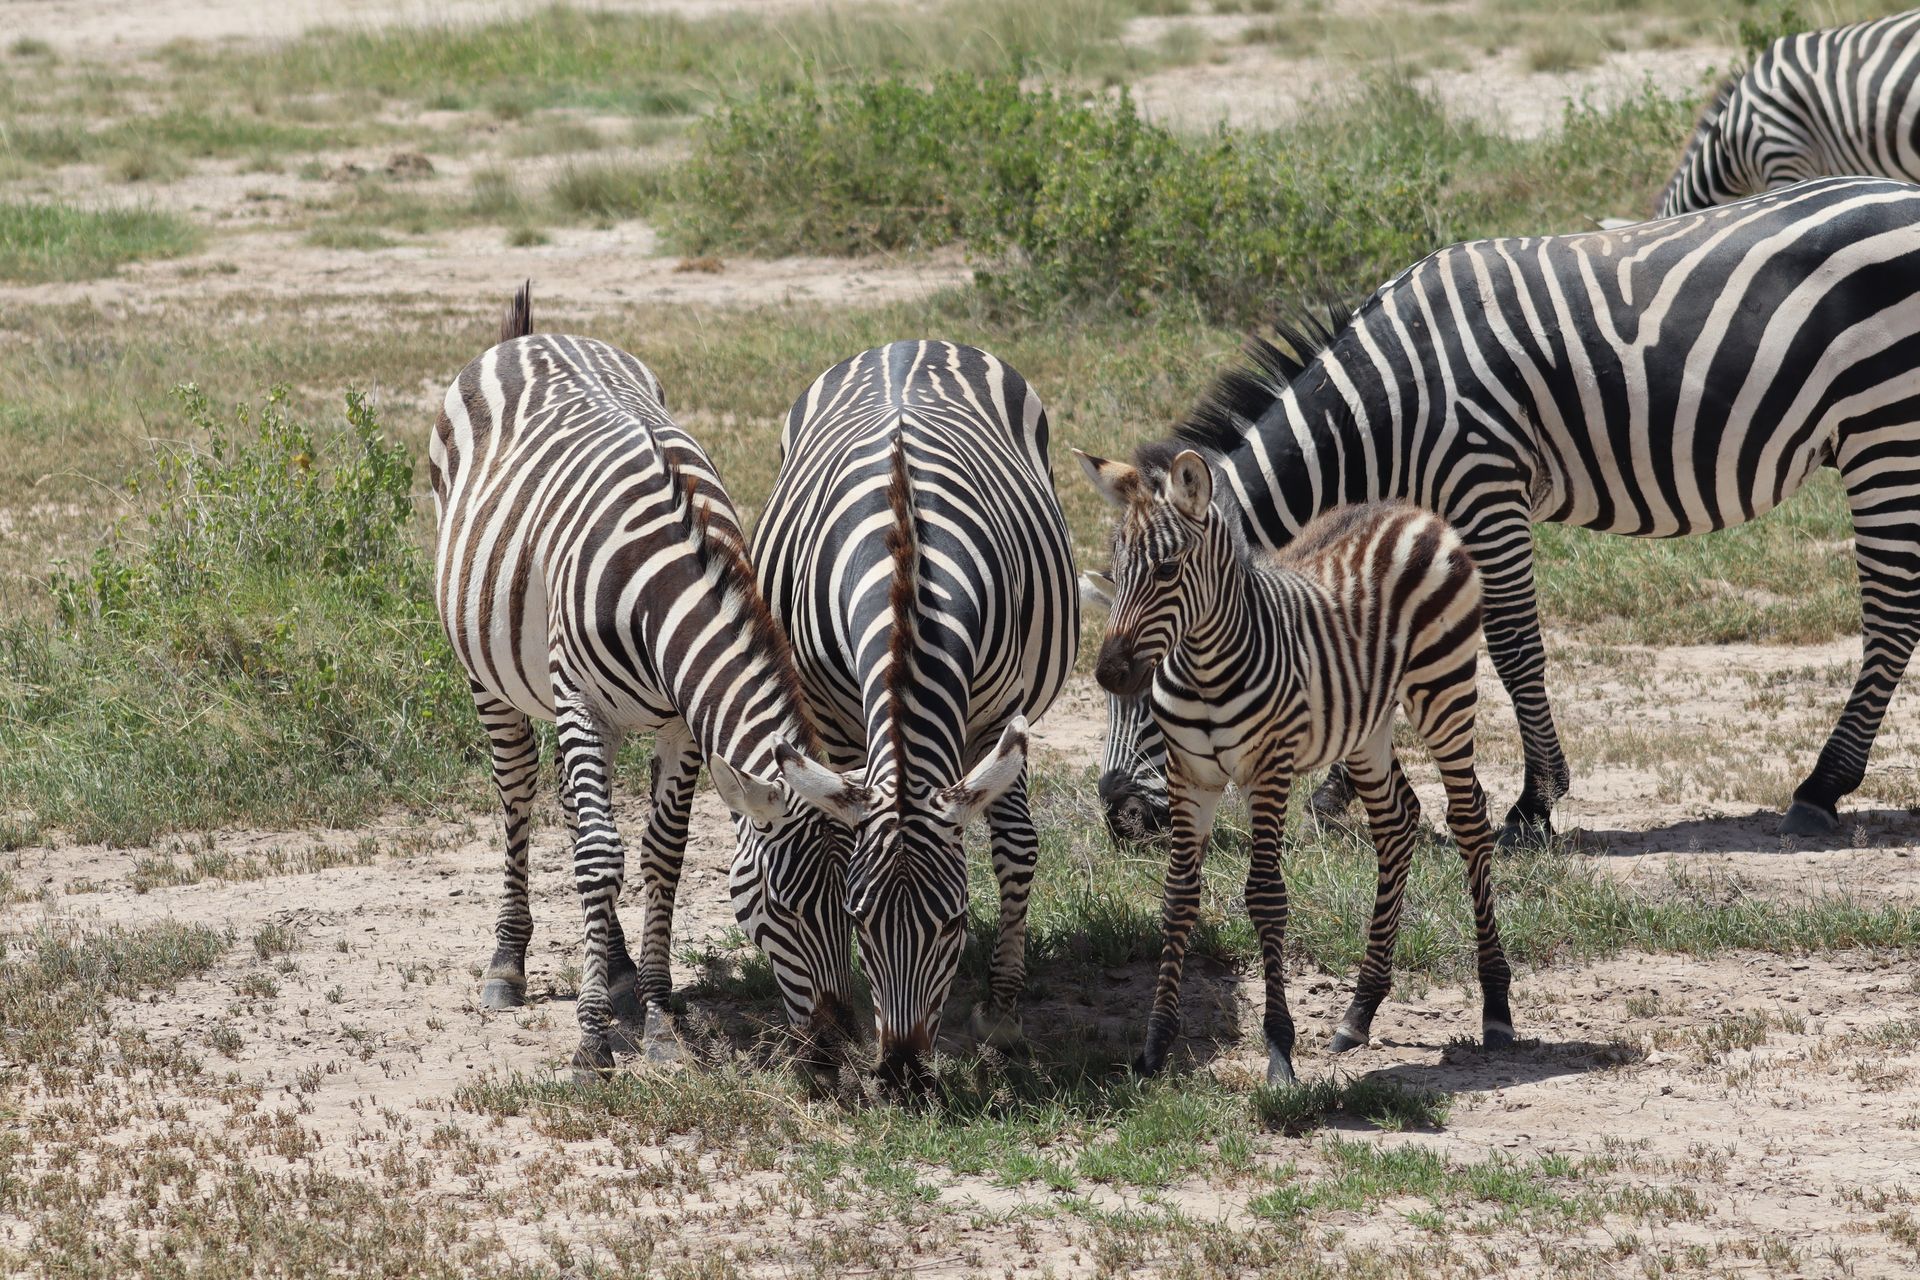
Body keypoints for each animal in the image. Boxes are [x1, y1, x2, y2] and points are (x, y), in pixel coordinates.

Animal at [430, 284, 860, 1073]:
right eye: (776, 906)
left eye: (852, 904)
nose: (835, 1042)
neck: (666, 583)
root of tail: (530, 338)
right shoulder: (579, 697)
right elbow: (601, 858)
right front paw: (592, 1038)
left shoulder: (681, 721)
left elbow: (661, 856)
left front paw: (658, 1016)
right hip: (490, 674)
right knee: (521, 792)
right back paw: (507, 964)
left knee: (573, 808)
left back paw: (621, 968)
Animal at [741, 341, 1078, 1089]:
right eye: (859, 920)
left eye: (953, 922)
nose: (899, 1075)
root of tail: (907, 345)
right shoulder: (838, 722)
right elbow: (840, 849)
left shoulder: (1000, 713)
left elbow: (1016, 848)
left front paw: (1002, 1014)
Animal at [1077, 445, 1513, 1083]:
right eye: (1118, 567)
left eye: (1166, 570)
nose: (1111, 673)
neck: (1204, 665)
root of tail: (1408, 509)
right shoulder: (1190, 776)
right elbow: (1178, 898)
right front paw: (1155, 1045)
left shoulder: (1268, 769)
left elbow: (1265, 896)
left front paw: (1279, 1051)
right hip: (1366, 725)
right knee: (1396, 823)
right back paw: (1359, 1011)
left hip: (1444, 690)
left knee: (1469, 821)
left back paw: (1497, 1007)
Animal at [1093, 176, 1920, 844]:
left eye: (1162, 683)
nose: (1118, 818)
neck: (1378, 411)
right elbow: (1373, 634)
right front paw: (1340, 794)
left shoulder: (1484, 482)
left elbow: (1515, 646)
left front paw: (1533, 805)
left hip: (1884, 427)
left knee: (1892, 614)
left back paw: (1820, 789)